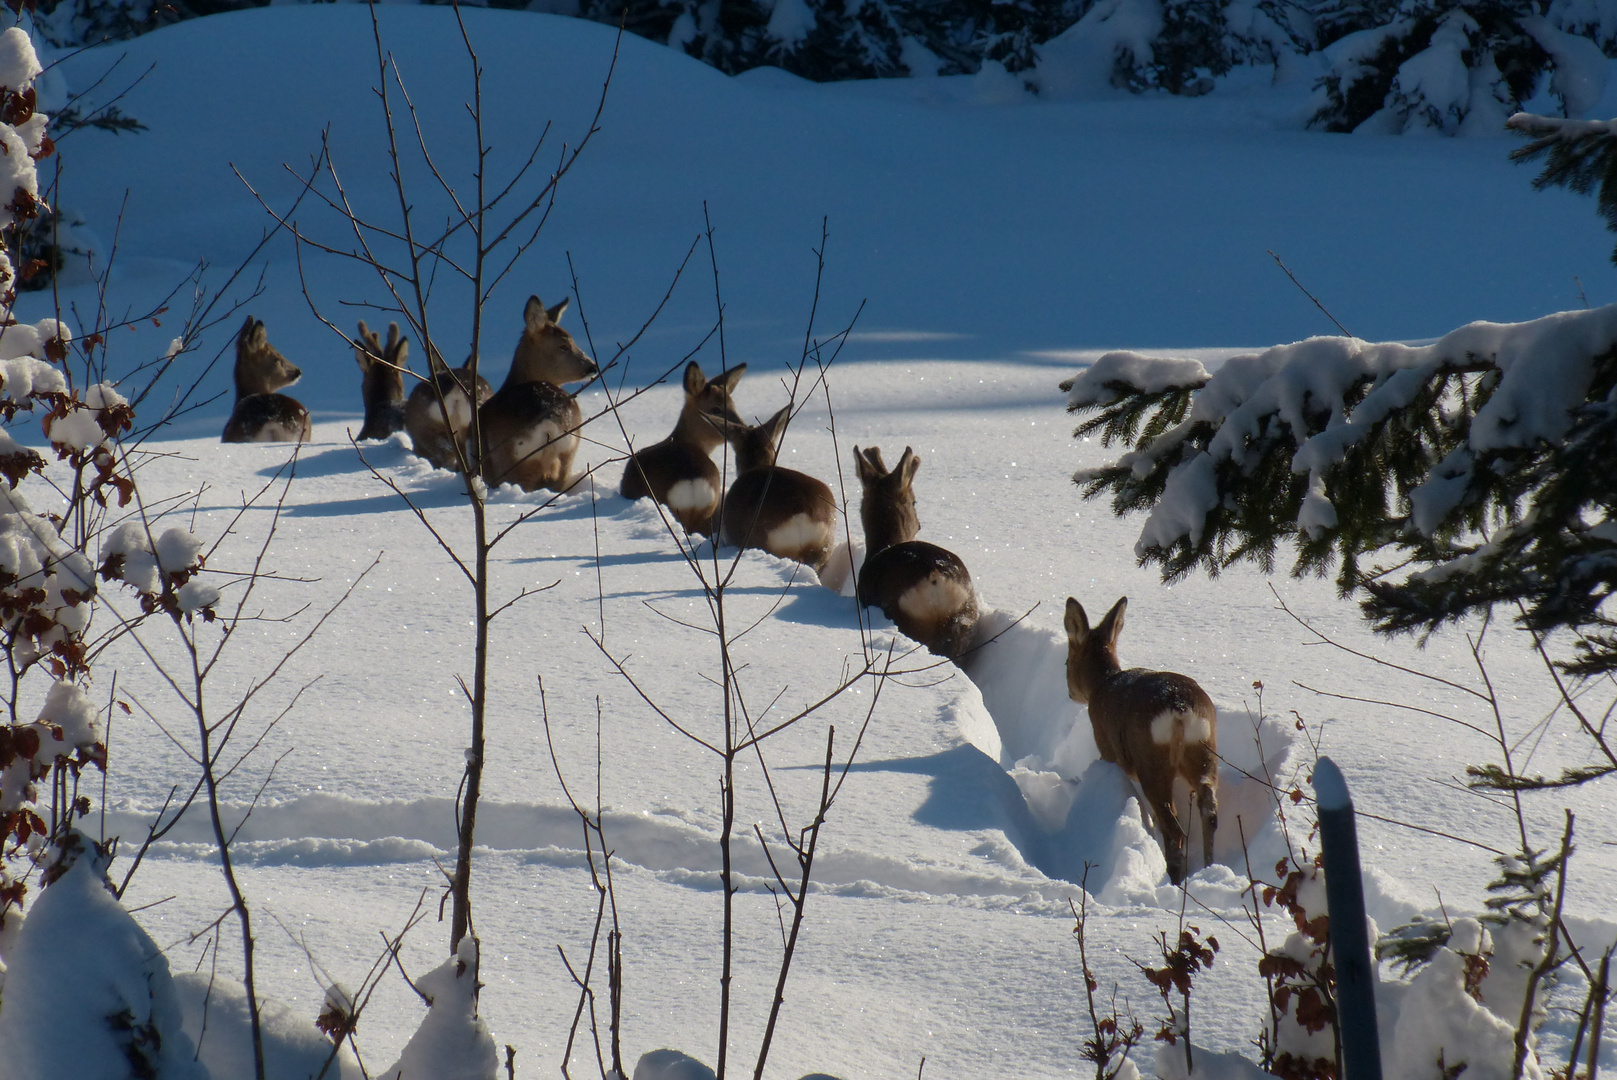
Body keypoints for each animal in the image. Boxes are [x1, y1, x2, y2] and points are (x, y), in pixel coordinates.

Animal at [853, 446, 976, 659]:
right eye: (914, 502)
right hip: (965, 615)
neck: (880, 546)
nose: (918, 524)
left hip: (904, 615)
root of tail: (935, 577)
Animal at [1060, 591, 1215, 885]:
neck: (1102, 683)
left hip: (1151, 759)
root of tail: (1179, 710)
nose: (1069, 693)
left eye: (1066, 662)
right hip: (1205, 750)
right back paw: (1209, 868)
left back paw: (1174, 876)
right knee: (1208, 811)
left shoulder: (1106, 747)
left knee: (1173, 826)